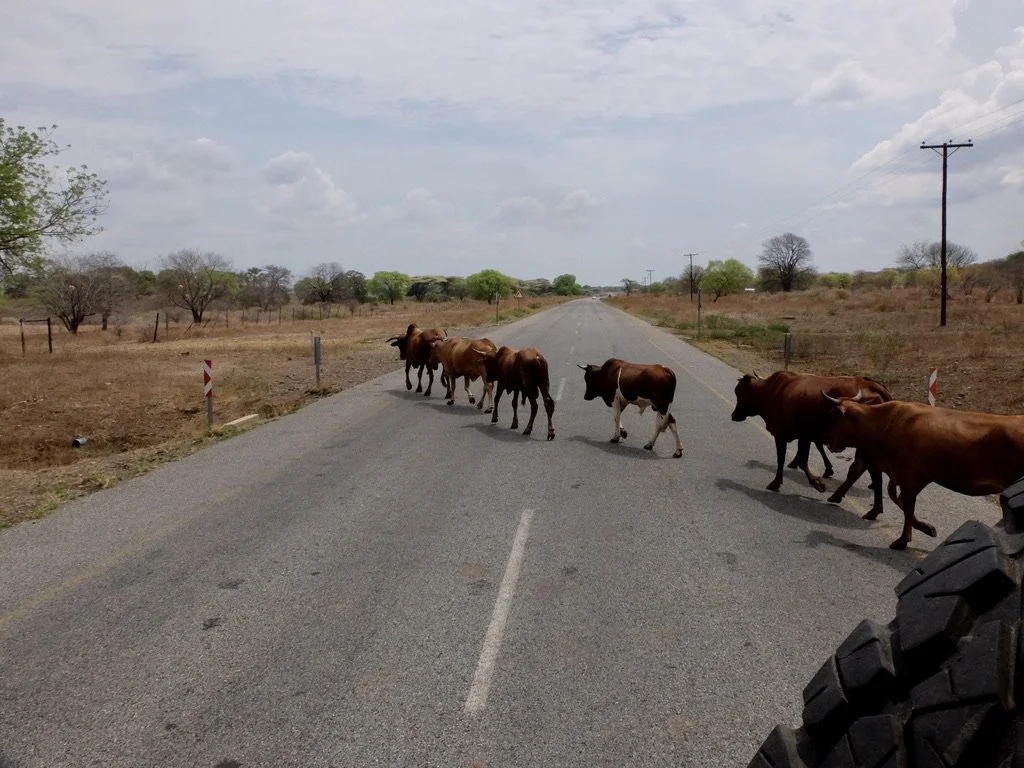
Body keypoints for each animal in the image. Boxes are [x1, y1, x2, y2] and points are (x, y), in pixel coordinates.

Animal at [730, 370, 891, 516]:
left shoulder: (783, 435)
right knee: (868, 471)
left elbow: (786, 459)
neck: (772, 392)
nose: (733, 416)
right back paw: (867, 507)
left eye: (739, 393)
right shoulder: (806, 436)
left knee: (865, 470)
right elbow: (804, 457)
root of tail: (872, 385)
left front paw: (781, 483)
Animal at [823, 392, 1024, 549]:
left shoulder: (907, 475)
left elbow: (906, 505)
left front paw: (903, 540)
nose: (830, 443)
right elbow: (899, 500)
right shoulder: (914, 476)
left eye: (834, 416)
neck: (887, 422)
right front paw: (926, 528)